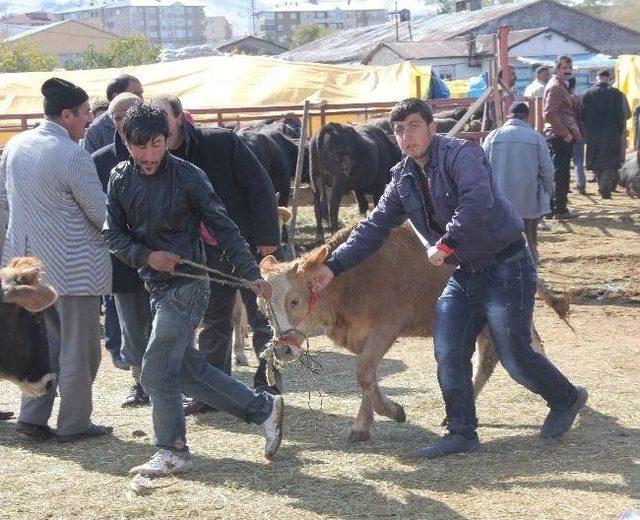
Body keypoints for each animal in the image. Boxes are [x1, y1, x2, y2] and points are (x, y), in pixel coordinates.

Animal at [260, 223, 560, 442]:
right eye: (263, 308)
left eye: (294, 301)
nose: (282, 349)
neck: (350, 282)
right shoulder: (364, 336)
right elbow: (368, 378)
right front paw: (362, 426)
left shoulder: (386, 327)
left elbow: (364, 372)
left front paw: (393, 412)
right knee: (504, 355)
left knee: (515, 352)